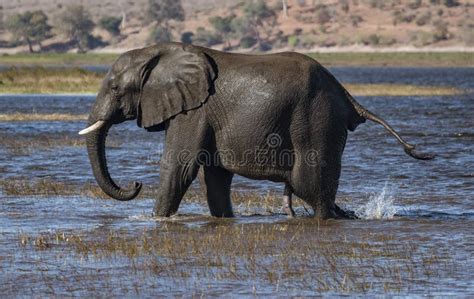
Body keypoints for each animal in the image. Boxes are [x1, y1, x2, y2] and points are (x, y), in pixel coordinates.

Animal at [79, 42, 436, 220]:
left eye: (114, 88)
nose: (135, 184)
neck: (159, 53)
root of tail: (348, 96)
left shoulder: (194, 111)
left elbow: (179, 168)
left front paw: (157, 221)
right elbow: (215, 177)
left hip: (317, 119)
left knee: (311, 186)